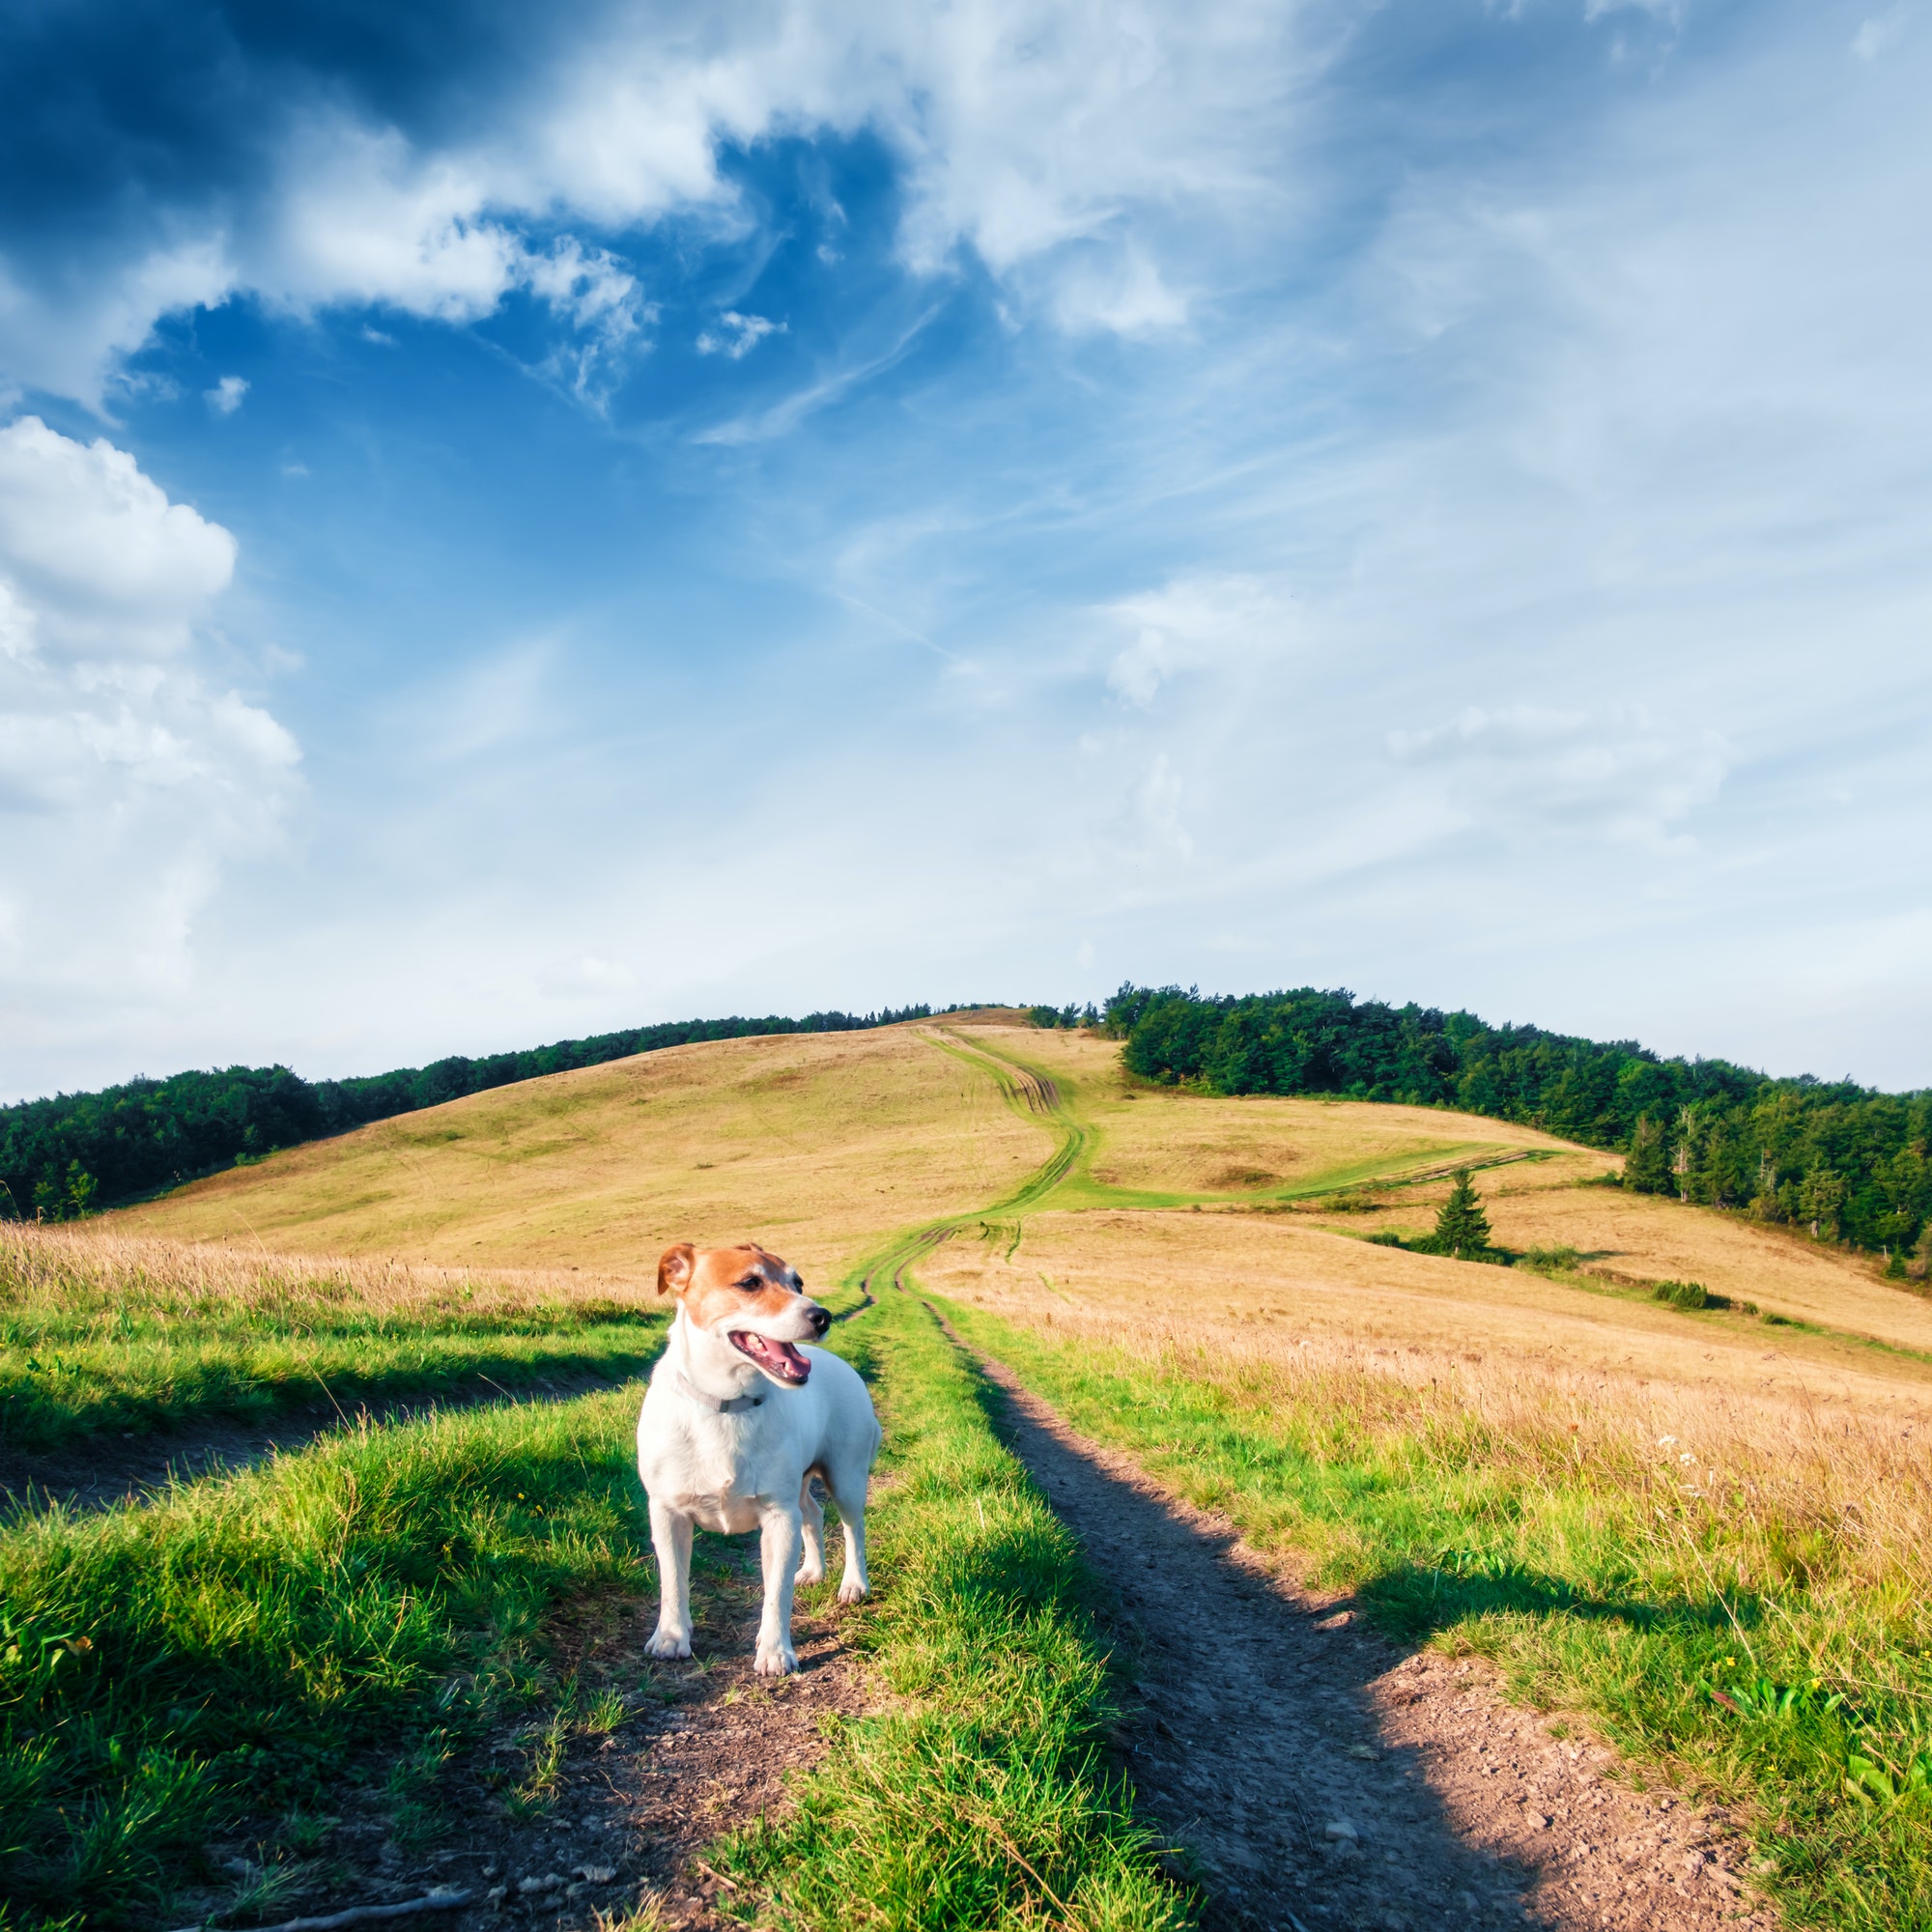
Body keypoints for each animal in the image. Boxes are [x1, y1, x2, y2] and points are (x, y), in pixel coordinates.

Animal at [638, 1236, 881, 1677]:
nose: (822, 1316)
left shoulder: (779, 1516)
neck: (727, 1405)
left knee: (853, 1528)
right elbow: (673, 1582)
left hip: (845, 1477)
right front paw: (671, 1637)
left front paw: (775, 1651)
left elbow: (776, 1594)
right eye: (750, 1283)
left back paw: (853, 1584)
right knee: (813, 1514)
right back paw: (813, 1570)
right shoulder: (667, 1512)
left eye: (797, 1283)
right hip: (801, 1484)